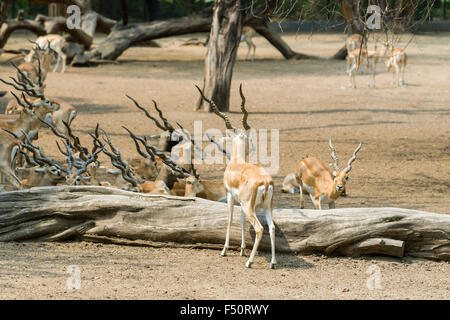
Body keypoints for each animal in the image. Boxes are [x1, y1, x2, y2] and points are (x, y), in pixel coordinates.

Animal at [198, 84, 278, 268]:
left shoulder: (229, 195)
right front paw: (241, 249)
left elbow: (229, 219)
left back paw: (249, 262)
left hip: (250, 206)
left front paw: (224, 250)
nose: (251, 149)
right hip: (265, 206)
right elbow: (241, 220)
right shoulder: (241, 202)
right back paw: (272, 262)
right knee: (271, 228)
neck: (235, 163)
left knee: (259, 228)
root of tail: (266, 182)